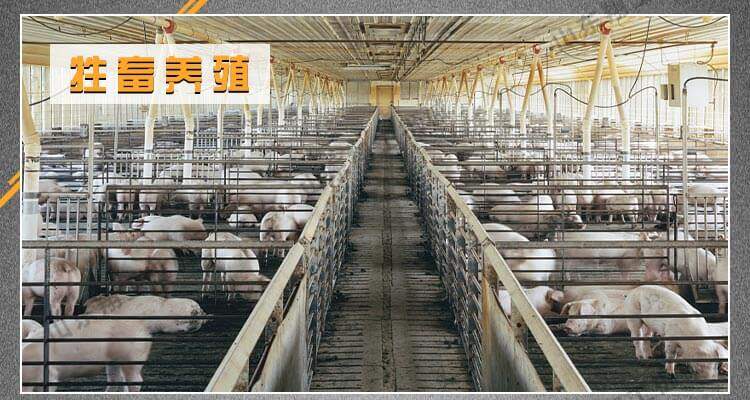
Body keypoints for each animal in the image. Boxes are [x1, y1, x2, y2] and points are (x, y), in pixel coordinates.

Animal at [22, 319, 152, 392]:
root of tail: (144, 330)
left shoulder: (50, 376)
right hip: (113, 361)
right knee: (116, 379)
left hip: (131, 358)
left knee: (136, 381)